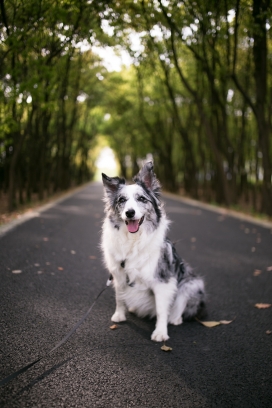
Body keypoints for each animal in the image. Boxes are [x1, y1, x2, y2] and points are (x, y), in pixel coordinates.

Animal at [101, 160, 205, 342]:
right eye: (122, 200)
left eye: (142, 199)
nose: (130, 213)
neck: (133, 240)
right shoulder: (119, 275)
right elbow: (119, 298)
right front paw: (119, 315)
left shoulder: (163, 281)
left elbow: (162, 310)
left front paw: (160, 332)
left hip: (193, 283)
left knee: (181, 302)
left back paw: (175, 318)